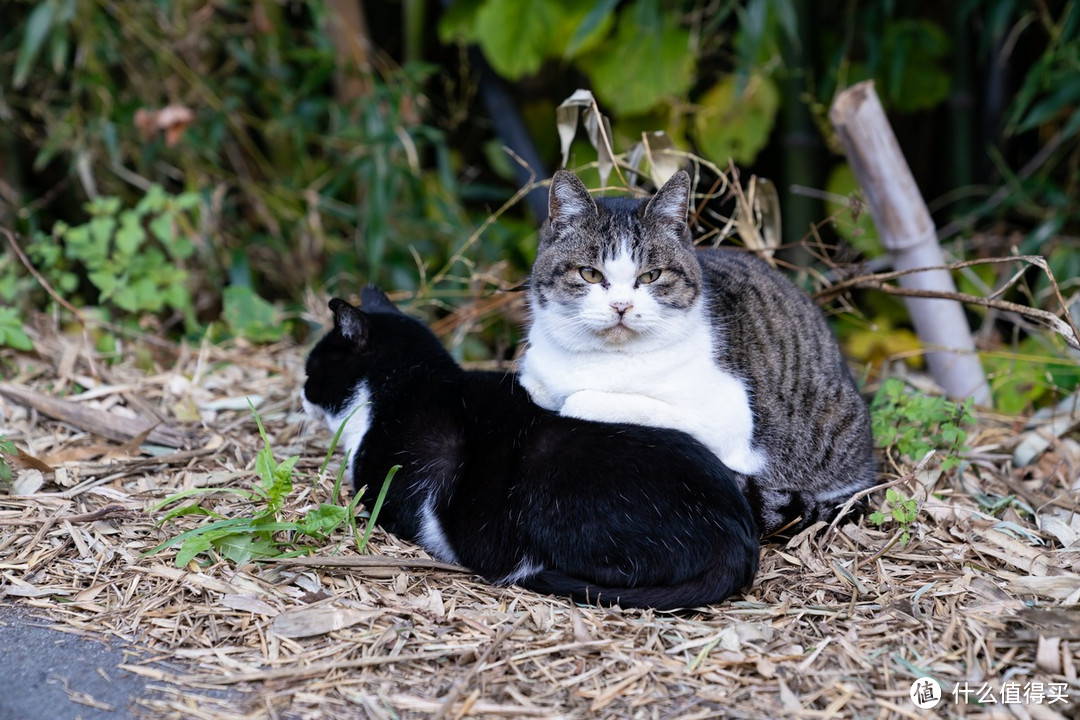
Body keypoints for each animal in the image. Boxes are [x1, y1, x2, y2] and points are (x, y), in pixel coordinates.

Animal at [516, 170, 876, 535]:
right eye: (589, 274)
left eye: (651, 276)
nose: (621, 306)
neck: (600, 357)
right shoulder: (535, 369)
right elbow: (536, 384)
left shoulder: (725, 420)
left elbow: (587, 401)